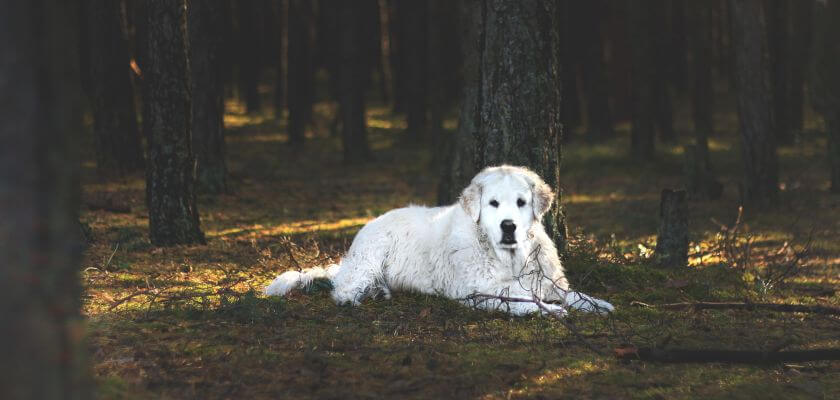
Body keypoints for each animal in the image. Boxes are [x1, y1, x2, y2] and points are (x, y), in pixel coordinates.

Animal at [266, 166, 612, 316]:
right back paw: (359, 297)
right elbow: (523, 299)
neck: (508, 255)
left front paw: (596, 304)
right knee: (342, 289)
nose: (508, 226)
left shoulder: (544, 280)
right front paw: (550, 311)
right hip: (369, 258)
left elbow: (570, 293)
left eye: (521, 202)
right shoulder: (477, 291)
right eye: (493, 204)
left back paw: (379, 292)